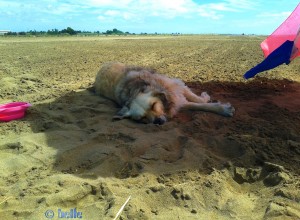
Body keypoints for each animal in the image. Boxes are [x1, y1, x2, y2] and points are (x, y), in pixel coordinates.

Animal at [94, 62, 234, 124]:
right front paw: (222, 109)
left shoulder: (175, 86)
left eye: (153, 105)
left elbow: (197, 100)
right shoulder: (175, 101)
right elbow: (197, 105)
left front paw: (208, 99)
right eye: (142, 118)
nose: (158, 121)